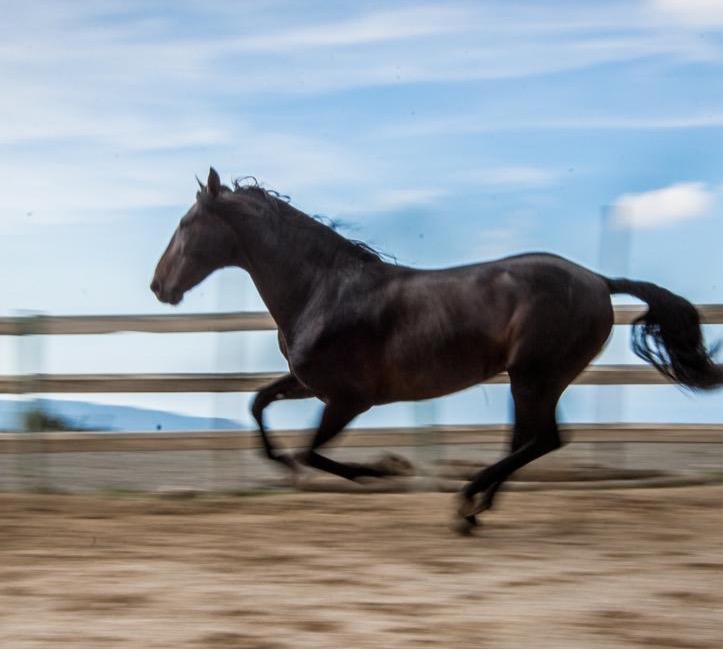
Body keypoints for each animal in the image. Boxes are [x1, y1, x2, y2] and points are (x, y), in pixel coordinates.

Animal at [151, 167, 722, 531]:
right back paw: (477, 508)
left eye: (185, 225)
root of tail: (600, 281)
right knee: (527, 440)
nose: (158, 286)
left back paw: (467, 500)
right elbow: (259, 404)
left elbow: (311, 450)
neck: (323, 289)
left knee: (545, 440)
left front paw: (384, 470)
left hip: (536, 375)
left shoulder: (350, 398)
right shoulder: (309, 384)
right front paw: (285, 467)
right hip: (533, 380)